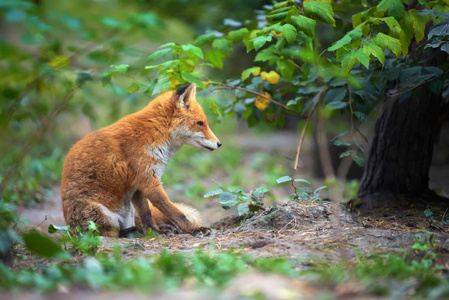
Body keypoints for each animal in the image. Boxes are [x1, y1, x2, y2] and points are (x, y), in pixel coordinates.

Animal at [60, 84, 221, 237]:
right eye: (200, 123)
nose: (219, 144)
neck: (155, 133)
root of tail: (70, 229)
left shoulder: (138, 184)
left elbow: (146, 215)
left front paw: (155, 232)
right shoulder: (149, 183)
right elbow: (178, 214)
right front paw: (195, 230)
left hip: (128, 211)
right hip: (101, 214)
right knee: (110, 234)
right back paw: (133, 231)